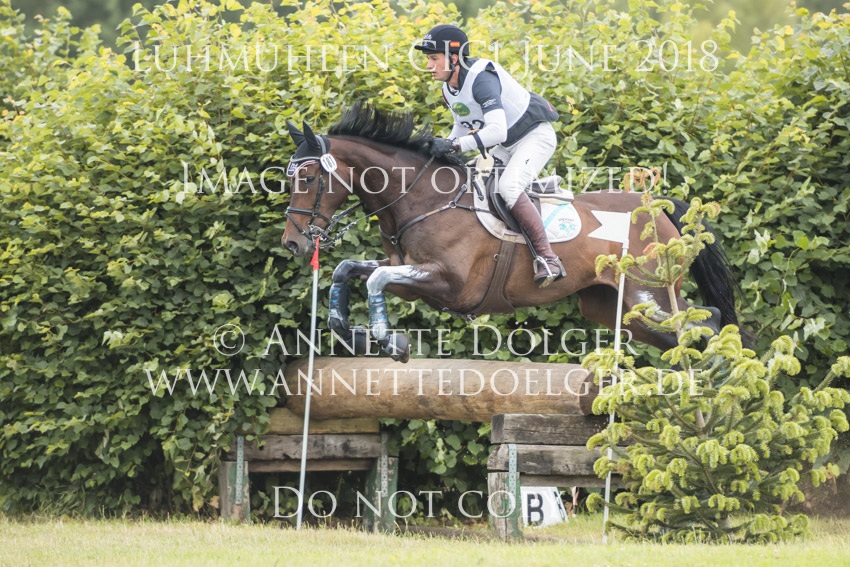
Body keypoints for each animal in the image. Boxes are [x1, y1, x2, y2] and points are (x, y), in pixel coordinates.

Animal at [281, 103, 740, 362]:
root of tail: (659, 208)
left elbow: (373, 277)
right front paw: (356, 336)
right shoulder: (409, 278)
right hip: (615, 307)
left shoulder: (449, 282)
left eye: (307, 178)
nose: (293, 242)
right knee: (679, 335)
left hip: (651, 294)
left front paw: (391, 344)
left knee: (709, 320)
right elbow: (347, 269)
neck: (420, 199)